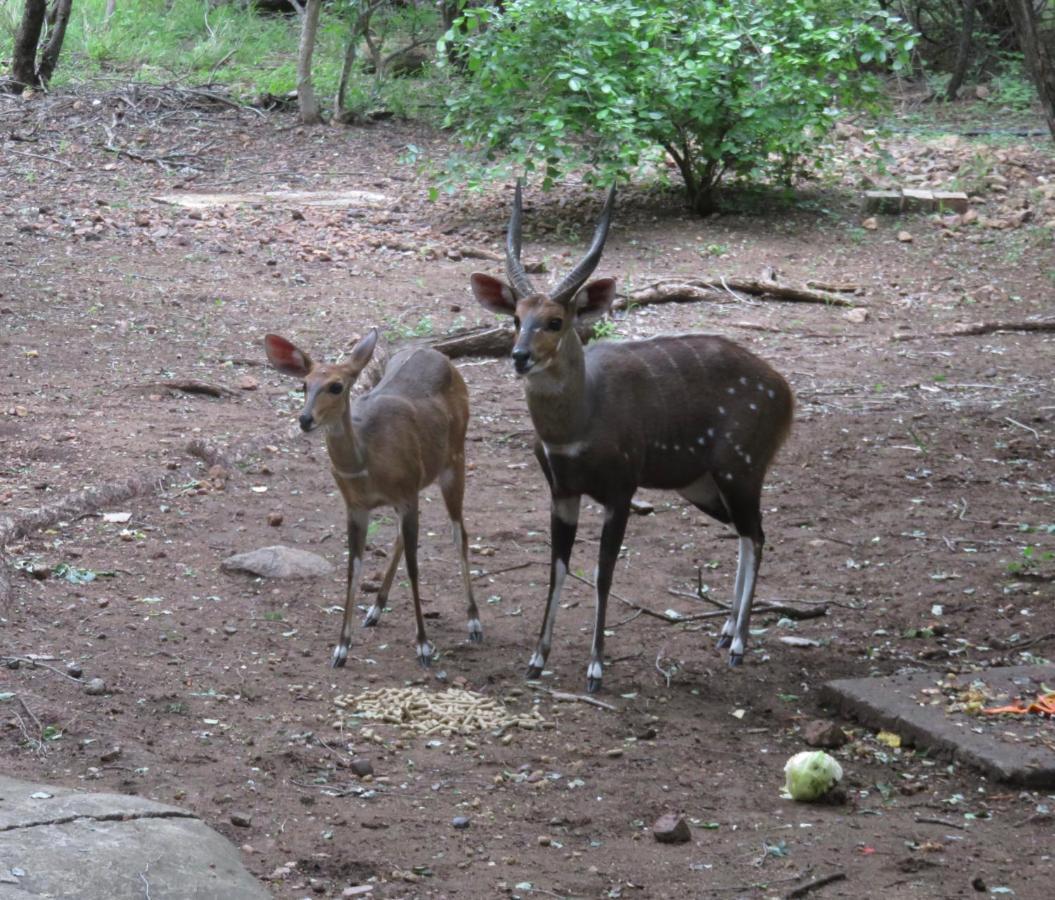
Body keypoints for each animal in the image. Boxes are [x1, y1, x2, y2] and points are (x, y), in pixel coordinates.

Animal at [263, 329, 483, 666]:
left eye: (336, 386)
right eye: (304, 385)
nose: (305, 419)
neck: (368, 461)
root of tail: (440, 356)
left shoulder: (406, 494)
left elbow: (415, 566)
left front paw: (423, 646)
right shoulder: (356, 506)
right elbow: (353, 567)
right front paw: (341, 648)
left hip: (455, 457)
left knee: (460, 532)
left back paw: (474, 622)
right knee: (402, 537)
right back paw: (375, 609)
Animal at [470, 180, 793, 687]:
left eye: (556, 321)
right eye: (516, 318)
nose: (519, 356)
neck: (580, 423)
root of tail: (786, 392)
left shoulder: (620, 490)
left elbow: (604, 572)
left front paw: (596, 668)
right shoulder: (562, 491)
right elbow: (557, 567)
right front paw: (537, 660)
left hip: (741, 467)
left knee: (757, 535)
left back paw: (740, 644)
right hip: (702, 486)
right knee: (748, 532)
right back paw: (725, 633)